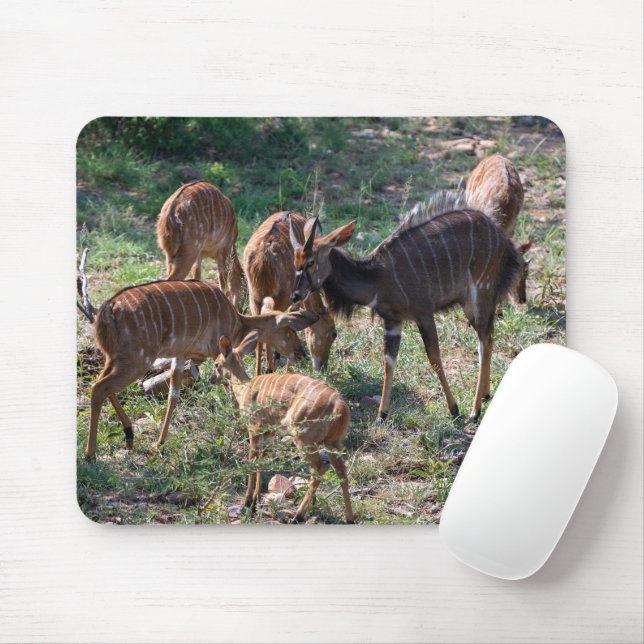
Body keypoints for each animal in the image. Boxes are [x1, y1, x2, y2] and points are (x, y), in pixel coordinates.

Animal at [86, 279, 318, 459]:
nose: (300, 354)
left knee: (100, 384)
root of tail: (107, 309)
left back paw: (129, 436)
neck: (237, 323)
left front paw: (160, 441)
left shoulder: (180, 356)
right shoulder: (218, 350)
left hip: (114, 357)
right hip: (138, 359)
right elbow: (230, 389)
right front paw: (242, 430)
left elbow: (173, 396)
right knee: (99, 388)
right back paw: (91, 453)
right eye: (289, 330)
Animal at [213, 335, 354, 524]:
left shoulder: (254, 428)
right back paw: (349, 518)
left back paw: (298, 516)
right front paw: (255, 501)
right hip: (334, 442)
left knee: (319, 469)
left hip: (304, 438)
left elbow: (251, 461)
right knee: (342, 471)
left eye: (216, 364)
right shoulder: (268, 432)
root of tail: (340, 407)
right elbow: (262, 461)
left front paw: (248, 502)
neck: (244, 388)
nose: (212, 379)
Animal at [289, 197, 522, 422]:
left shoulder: (424, 314)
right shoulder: (393, 321)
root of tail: (500, 236)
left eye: (310, 262)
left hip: (481, 291)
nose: (295, 295)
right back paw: (485, 395)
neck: (377, 278)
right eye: (295, 260)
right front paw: (381, 415)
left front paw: (454, 410)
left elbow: (434, 357)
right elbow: (389, 361)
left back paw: (475, 411)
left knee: (483, 339)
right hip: (470, 304)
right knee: (487, 338)